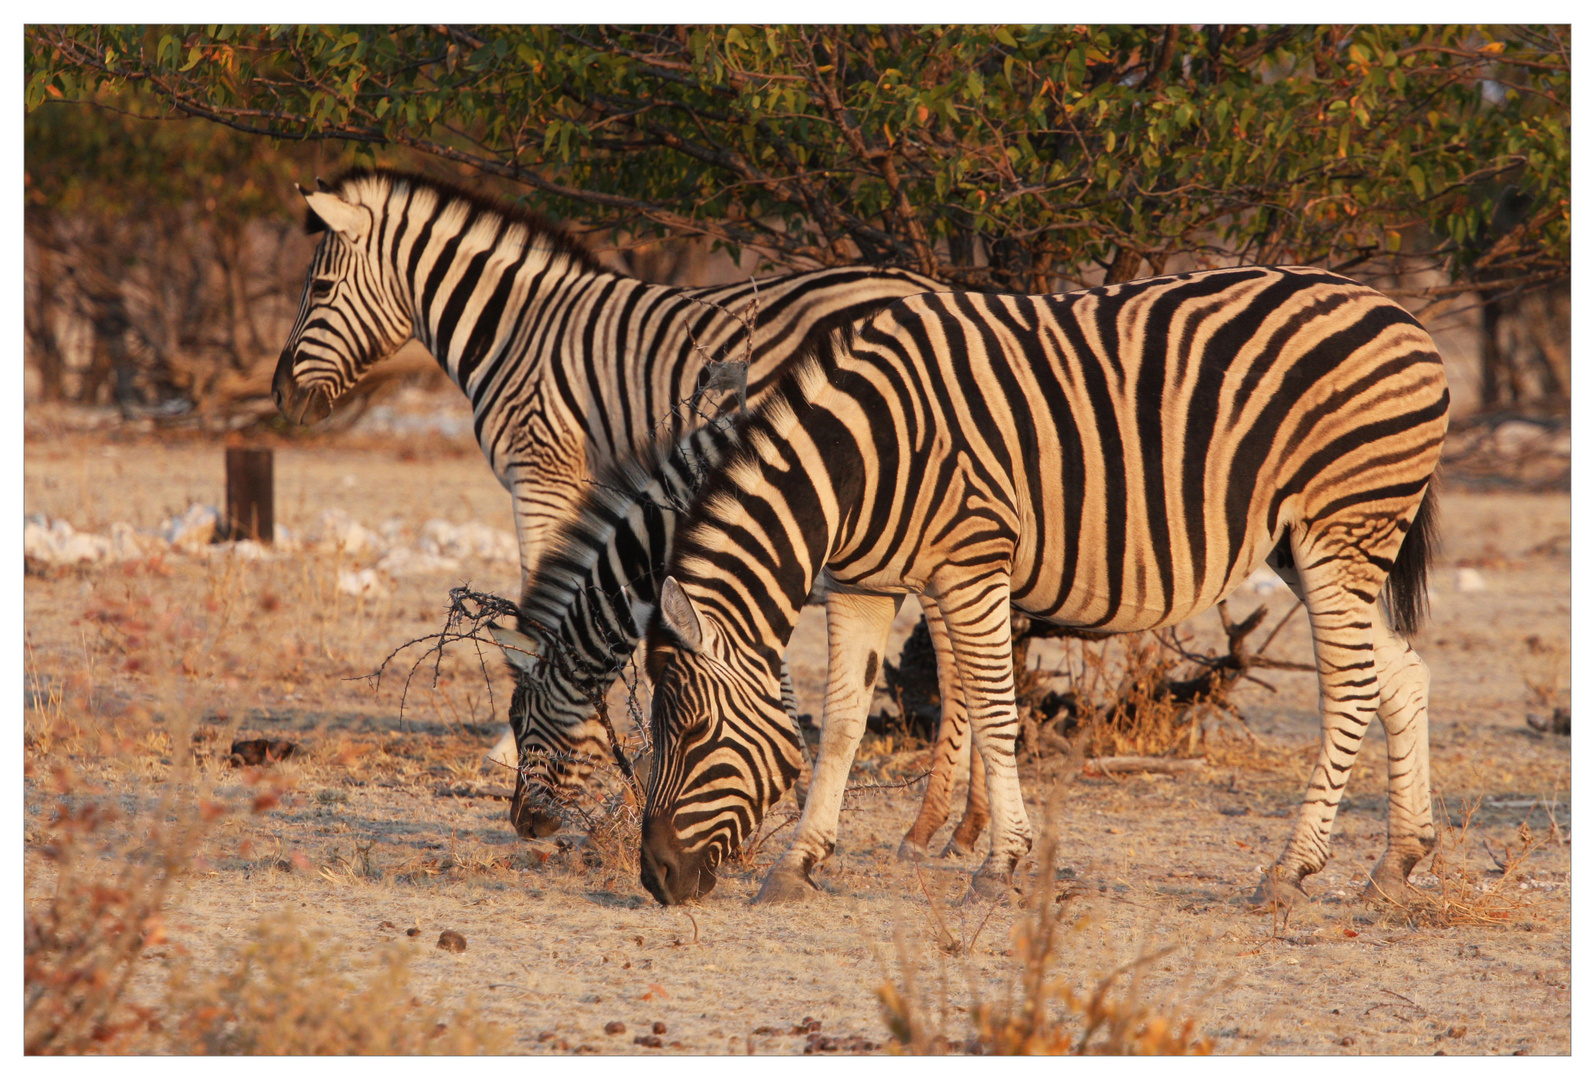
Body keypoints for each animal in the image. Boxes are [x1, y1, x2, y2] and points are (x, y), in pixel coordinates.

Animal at [274, 169, 944, 590]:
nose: (280, 396)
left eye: (322, 288)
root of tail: (928, 285)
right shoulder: (586, 484)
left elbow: (535, 588)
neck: (514, 326)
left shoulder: (539, 473)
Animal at [634, 264, 1448, 906]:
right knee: (1400, 673)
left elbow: (997, 712)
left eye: (693, 732)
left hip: (1341, 527)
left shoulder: (972, 562)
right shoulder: (861, 582)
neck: (859, 459)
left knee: (1349, 686)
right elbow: (840, 723)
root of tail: (1395, 310)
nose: (655, 878)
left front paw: (1000, 867)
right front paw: (797, 863)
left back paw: (1290, 870)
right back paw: (1396, 862)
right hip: (1306, 542)